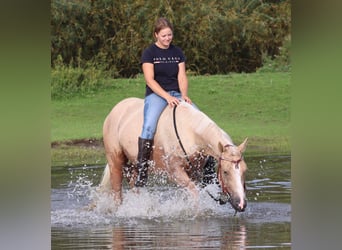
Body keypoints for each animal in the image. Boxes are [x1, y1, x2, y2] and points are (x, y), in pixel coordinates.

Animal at [99, 96, 248, 212]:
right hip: (115, 162)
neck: (190, 131)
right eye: (225, 172)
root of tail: (116, 109)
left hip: (134, 167)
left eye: (244, 171)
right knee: (117, 192)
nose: (240, 204)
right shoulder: (175, 172)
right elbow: (194, 192)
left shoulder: (193, 171)